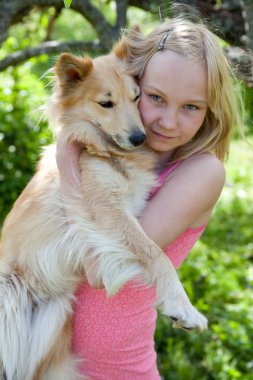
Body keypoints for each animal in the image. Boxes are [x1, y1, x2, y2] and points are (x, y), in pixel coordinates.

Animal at [0, 40, 208, 378]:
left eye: (137, 97)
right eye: (105, 103)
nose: (139, 138)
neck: (104, 151)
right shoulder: (103, 211)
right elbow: (155, 253)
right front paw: (182, 306)